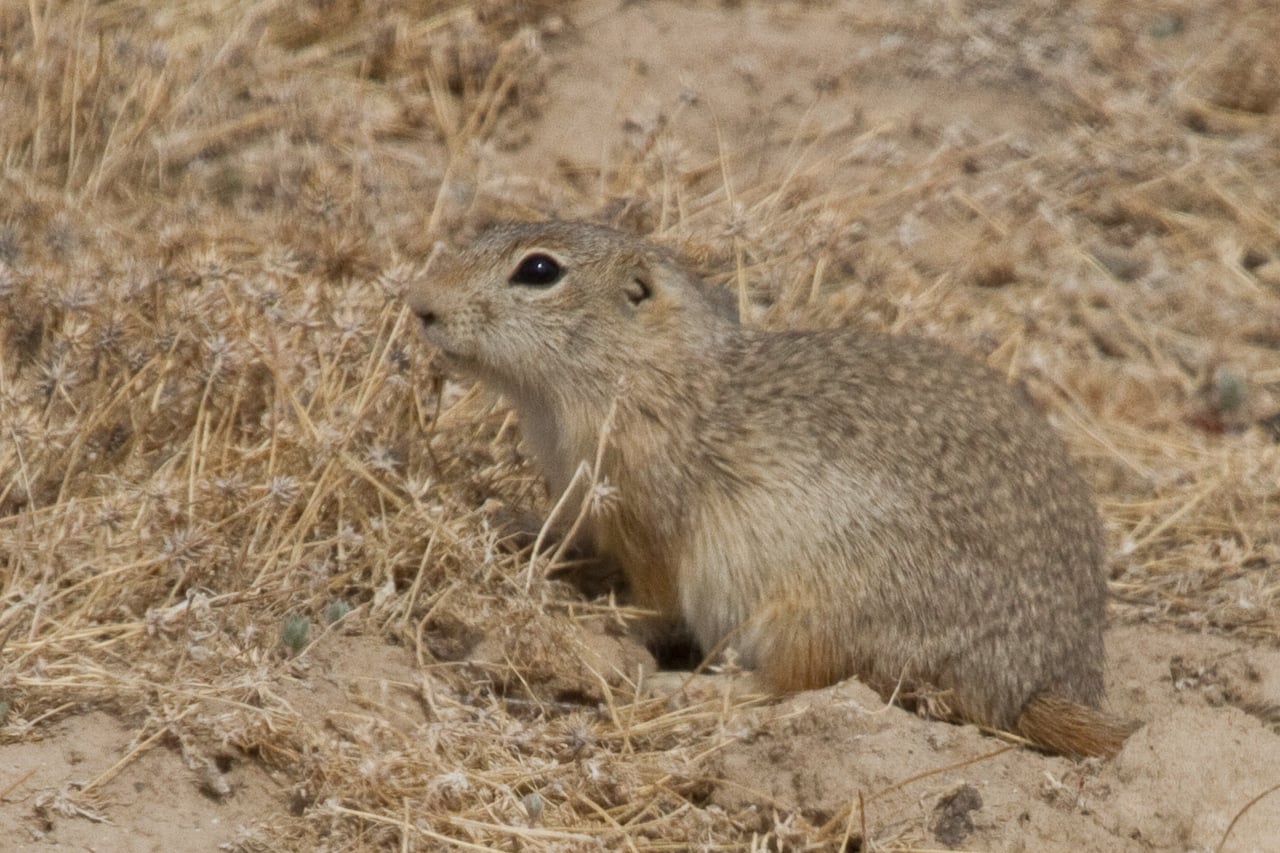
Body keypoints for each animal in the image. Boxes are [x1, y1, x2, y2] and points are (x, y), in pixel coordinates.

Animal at [407, 219, 1137, 758]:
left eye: (538, 270)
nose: (419, 303)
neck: (646, 371)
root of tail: (1029, 685)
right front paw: (510, 522)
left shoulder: (650, 524)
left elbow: (650, 602)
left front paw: (586, 617)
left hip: (810, 613)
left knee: (793, 683)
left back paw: (691, 692)